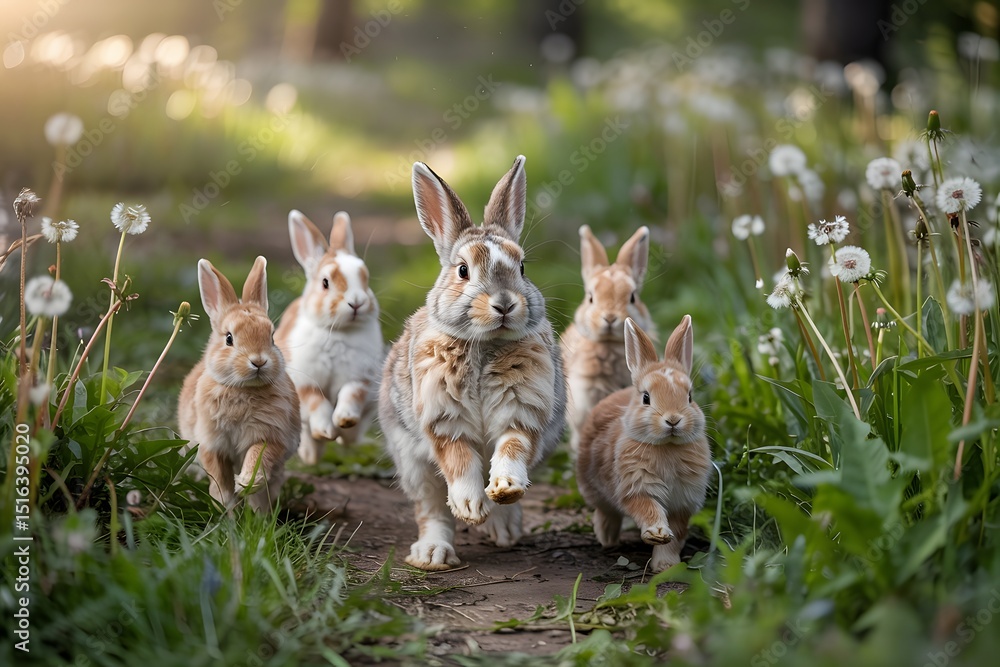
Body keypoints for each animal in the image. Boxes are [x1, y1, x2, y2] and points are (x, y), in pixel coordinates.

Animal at [178, 256, 300, 512]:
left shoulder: (271, 436)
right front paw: (225, 504)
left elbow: (258, 456)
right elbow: (218, 476)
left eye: (271, 337)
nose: (259, 361)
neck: (242, 389)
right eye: (229, 338)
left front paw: (245, 483)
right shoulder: (211, 444)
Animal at [274, 210, 385, 465]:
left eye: (365, 278)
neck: (338, 331)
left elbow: (349, 395)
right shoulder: (304, 381)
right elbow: (318, 404)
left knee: (351, 436)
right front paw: (325, 430)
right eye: (325, 283)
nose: (357, 302)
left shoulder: (360, 378)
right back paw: (310, 454)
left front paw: (344, 419)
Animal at [379, 155, 567, 570]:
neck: (485, 345)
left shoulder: (522, 411)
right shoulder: (443, 419)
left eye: (523, 267)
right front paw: (469, 506)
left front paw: (504, 488)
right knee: (432, 509)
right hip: (413, 465)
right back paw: (433, 553)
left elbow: (512, 448)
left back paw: (504, 525)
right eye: (463, 270)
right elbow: (460, 461)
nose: (504, 304)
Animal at [576, 315, 712, 572]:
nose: (673, 420)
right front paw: (657, 533)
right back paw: (607, 539)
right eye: (646, 398)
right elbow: (648, 509)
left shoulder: (682, 503)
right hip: (595, 490)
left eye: (690, 397)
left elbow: (676, 534)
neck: (667, 446)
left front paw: (666, 566)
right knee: (607, 513)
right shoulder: (636, 488)